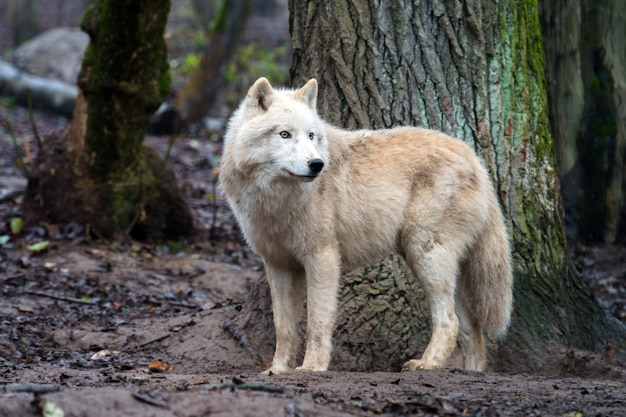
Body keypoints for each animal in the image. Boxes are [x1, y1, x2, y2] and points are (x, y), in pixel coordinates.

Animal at [219, 78, 512, 374]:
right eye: (284, 134)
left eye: (311, 136)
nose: (317, 164)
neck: (276, 201)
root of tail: (476, 160)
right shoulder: (278, 265)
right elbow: (284, 327)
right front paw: (278, 370)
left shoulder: (322, 257)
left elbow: (316, 322)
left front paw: (312, 367)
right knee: (470, 327)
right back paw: (470, 372)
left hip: (424, 255)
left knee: (449, 320)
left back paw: (427, 363)